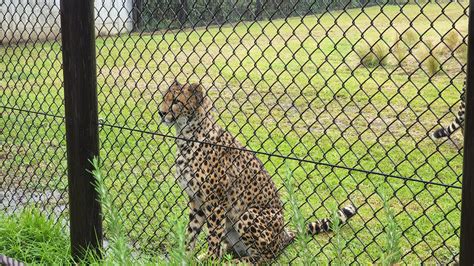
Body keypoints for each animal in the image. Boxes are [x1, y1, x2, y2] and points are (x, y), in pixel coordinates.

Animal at [159, 81, 356, 264]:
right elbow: (191, 233)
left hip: (248, 214)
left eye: (176, 101)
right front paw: (185, 257)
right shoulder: (196, 201)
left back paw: (235, 262)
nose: (161, 113)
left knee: (264, 258)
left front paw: (211, 261)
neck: (188, 135)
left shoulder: (215, 203)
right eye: (164, 98)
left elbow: (213, 237)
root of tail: (284, 235)